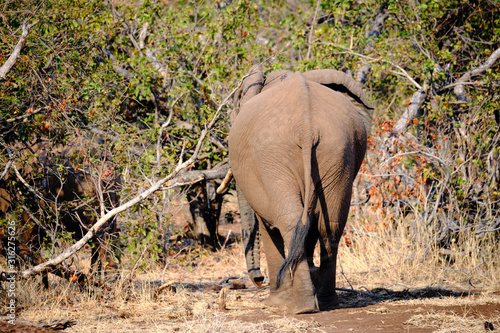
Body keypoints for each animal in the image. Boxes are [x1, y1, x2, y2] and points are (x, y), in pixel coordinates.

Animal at [229, 67, 374, 312]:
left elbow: (267, 225)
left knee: (287, 221)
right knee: (329, 225)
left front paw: (276, 301)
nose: (258, 280)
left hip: (272, 156)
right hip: (337, 152)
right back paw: (325, 302)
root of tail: (307, 128)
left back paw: (301, 306)